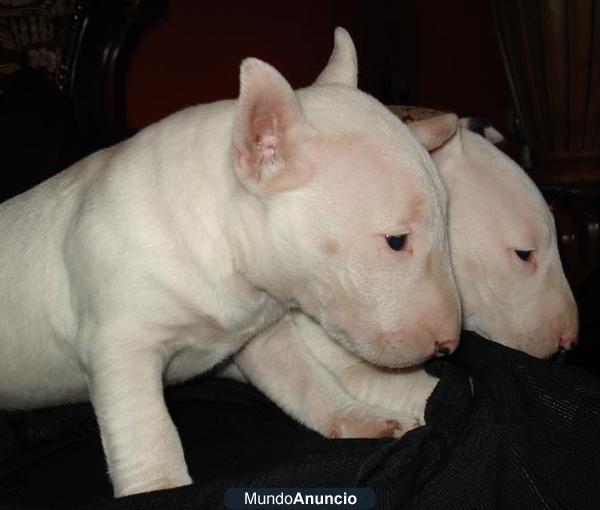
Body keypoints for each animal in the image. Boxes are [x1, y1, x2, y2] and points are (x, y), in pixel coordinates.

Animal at [0, 29, 460, 496]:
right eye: (397, 240)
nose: (450, 346)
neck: (222, 245)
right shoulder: (120, 344)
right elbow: (146, 429)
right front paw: (161, 488)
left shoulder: (260, 336)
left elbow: (306, 380)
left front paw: (359, 418)